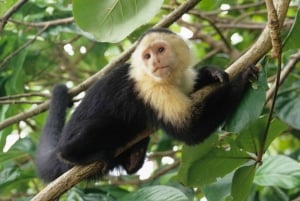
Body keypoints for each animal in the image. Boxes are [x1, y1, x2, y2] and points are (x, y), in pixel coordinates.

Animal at [35, 27, 258, 182]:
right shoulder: (151, 89)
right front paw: (242, 78)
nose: (154, 62)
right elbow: (190, 129)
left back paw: (135, 156)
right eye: (147, 56)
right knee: (104, 126)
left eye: (160, 50)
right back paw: (78, 154)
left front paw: (210, 73)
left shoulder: (181, 80)